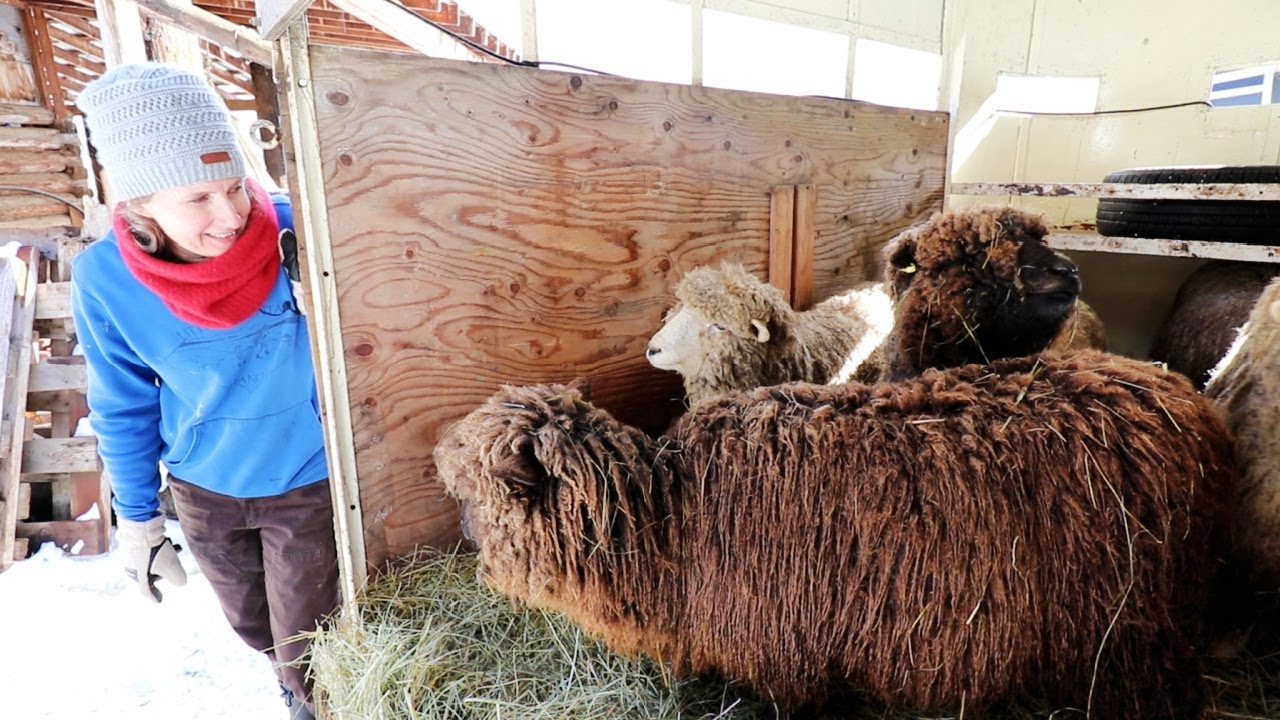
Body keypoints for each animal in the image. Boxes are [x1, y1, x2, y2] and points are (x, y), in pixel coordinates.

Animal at [436, 352, 1236, 719]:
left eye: (477, 482)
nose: (435, 459)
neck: (667, 522)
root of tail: (1186, 397)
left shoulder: (786, 656)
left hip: (1134, 631)